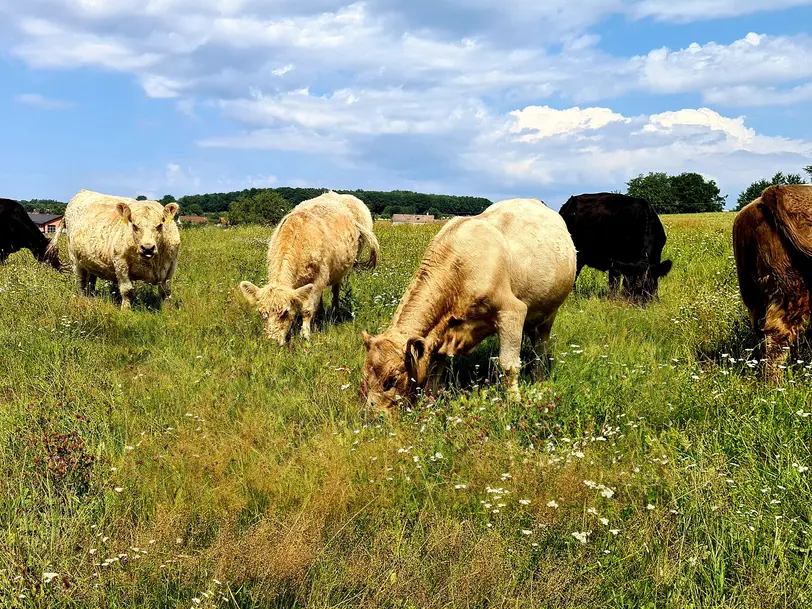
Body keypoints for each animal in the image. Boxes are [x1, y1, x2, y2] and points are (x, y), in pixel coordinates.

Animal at [44, 189, 181, 308]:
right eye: (134, 226)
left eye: (160, 225)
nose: (147, 248)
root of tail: (82, 192)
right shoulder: (121, 263)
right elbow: (126, 290)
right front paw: (125, 310)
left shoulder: (171, 265)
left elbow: (166, 292)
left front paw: (168, 310)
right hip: (75, 260)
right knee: (81, 283)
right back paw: (84, 300)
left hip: (90, 261)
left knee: (91, 282)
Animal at [239, 190, 382, 342]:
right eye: (262, 313)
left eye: (285, 312)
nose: (272, 341)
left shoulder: (319, 277)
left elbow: (306, 309)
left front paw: (305, 334)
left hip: (343, 267)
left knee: (335, 290)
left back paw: (336, 312)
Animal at [362, 200, 576, 414]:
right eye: (365, 378)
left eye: (392, 379)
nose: (374, 416)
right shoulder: (441, 331)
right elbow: (434, 368)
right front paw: (431, 400)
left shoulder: (512, 311)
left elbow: (509, 365)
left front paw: (514, 402)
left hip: (548, 314)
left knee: (540, 347)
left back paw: (539, 378)